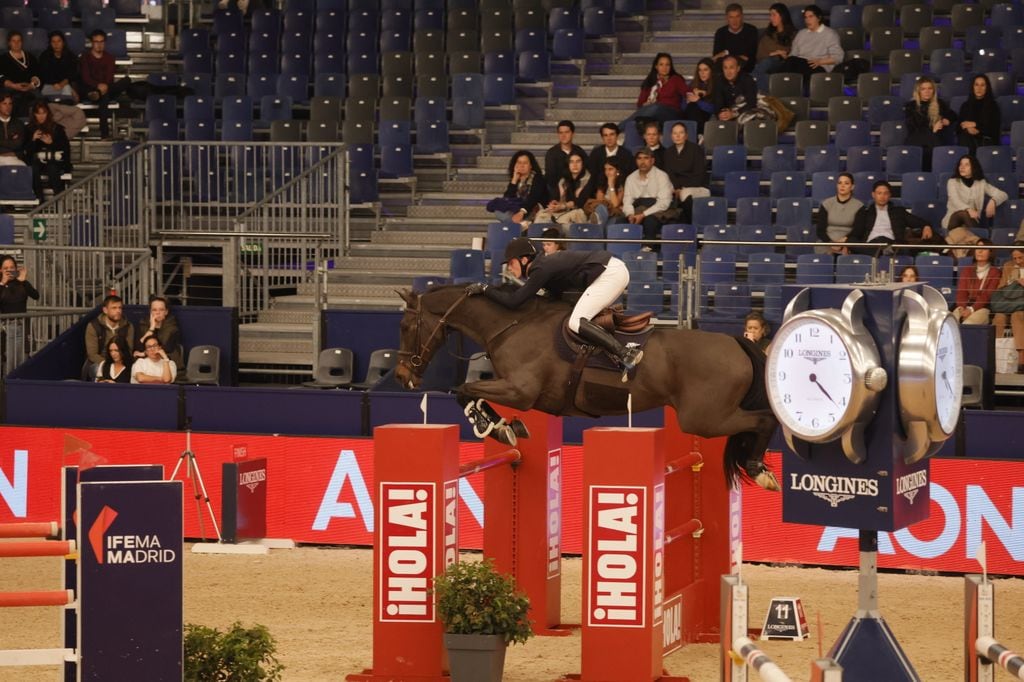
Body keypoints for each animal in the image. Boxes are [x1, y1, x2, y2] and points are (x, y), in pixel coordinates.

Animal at [395, 282, 778, 489]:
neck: (511, 324)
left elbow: (465, 391)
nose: (400, 376)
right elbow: (469, 393)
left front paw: (494, 425)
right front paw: (506, 427)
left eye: (405, 326)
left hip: (705, 418)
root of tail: (739, 343)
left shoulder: (520, 390)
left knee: (764, 419)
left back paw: (759, 470)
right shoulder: (516, 390)